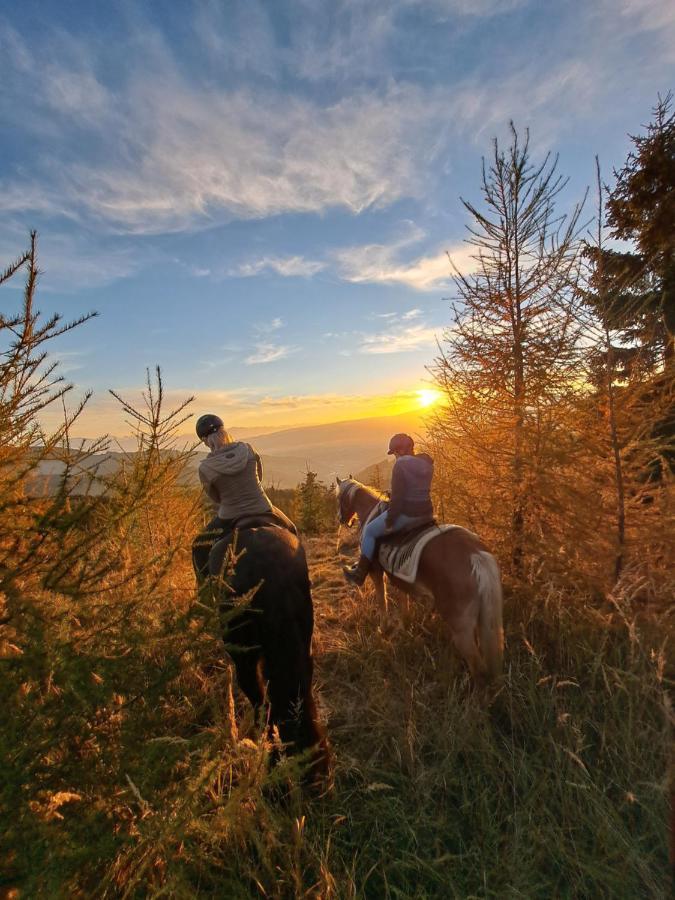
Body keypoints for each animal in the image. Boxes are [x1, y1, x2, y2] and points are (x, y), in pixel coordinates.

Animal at [336, 478, 504, 684]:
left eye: (339, 498)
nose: (342, 519)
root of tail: (475, 555)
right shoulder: (397, 576)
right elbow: (403, 599)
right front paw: (405, 623)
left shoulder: (376, 571)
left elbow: (382, 599)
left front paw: (383, 628)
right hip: (483, 621)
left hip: (461, 627)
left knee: (478, 668)